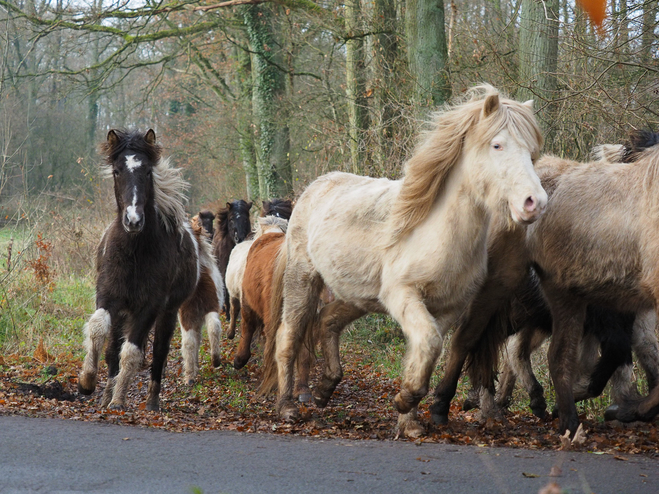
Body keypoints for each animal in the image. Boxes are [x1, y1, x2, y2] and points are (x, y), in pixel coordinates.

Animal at [77, 129, 217, 412]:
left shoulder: (149, 306)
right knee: (113, 348)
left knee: (159, 352)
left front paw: (119, 400)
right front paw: (87, 382)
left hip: (168, 312)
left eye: (148, 171)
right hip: (124, 312)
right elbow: (98, 330)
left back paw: (151, 401)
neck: (135, 251)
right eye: (117, 170)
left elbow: (132, 352)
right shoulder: (108, 297)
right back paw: (106, 392)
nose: (133, 220)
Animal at [262, 85, 548, 436]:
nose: (534, 203)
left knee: (327, 320)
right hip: (303, 280)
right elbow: (429, 344)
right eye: (497, 144)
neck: (436, 233)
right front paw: (404, 401)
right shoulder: (403, 295)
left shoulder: (446, 309)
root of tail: (314, 188)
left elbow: (426, 353)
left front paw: (409, 421)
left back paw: (325, 388)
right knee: (288, 336)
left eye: (532, 153)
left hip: (359, 296)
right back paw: (287, 406)